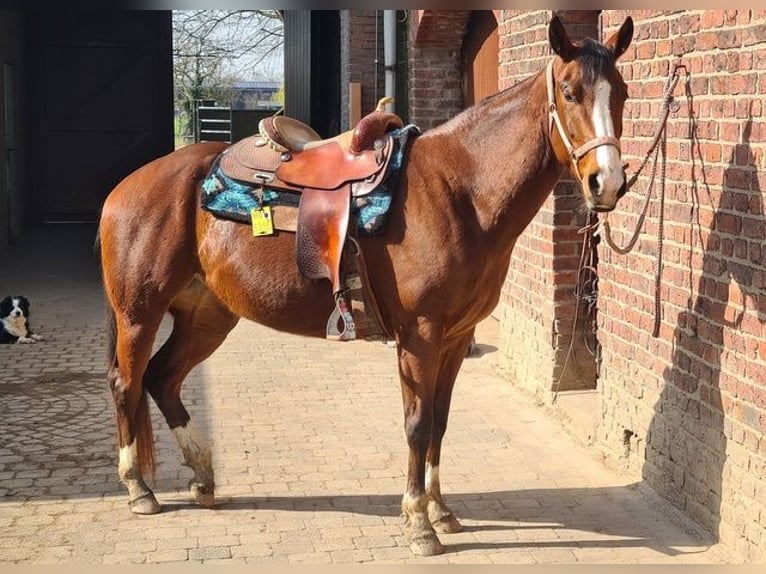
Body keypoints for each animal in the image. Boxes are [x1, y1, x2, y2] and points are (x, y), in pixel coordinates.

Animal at [98, 16, 633, 556]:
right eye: (570, 92)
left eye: (623, 93)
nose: (607, 183)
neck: (459, 191)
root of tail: (127, 187)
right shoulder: (419, 336)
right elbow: (418, 424)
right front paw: (418, 522)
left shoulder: (456, 338)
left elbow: (440, 419)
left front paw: (442, 511)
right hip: (139, 313)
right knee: (128, 382)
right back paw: (139, 489)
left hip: (208, 316)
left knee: (163, 379)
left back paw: (203, 477)